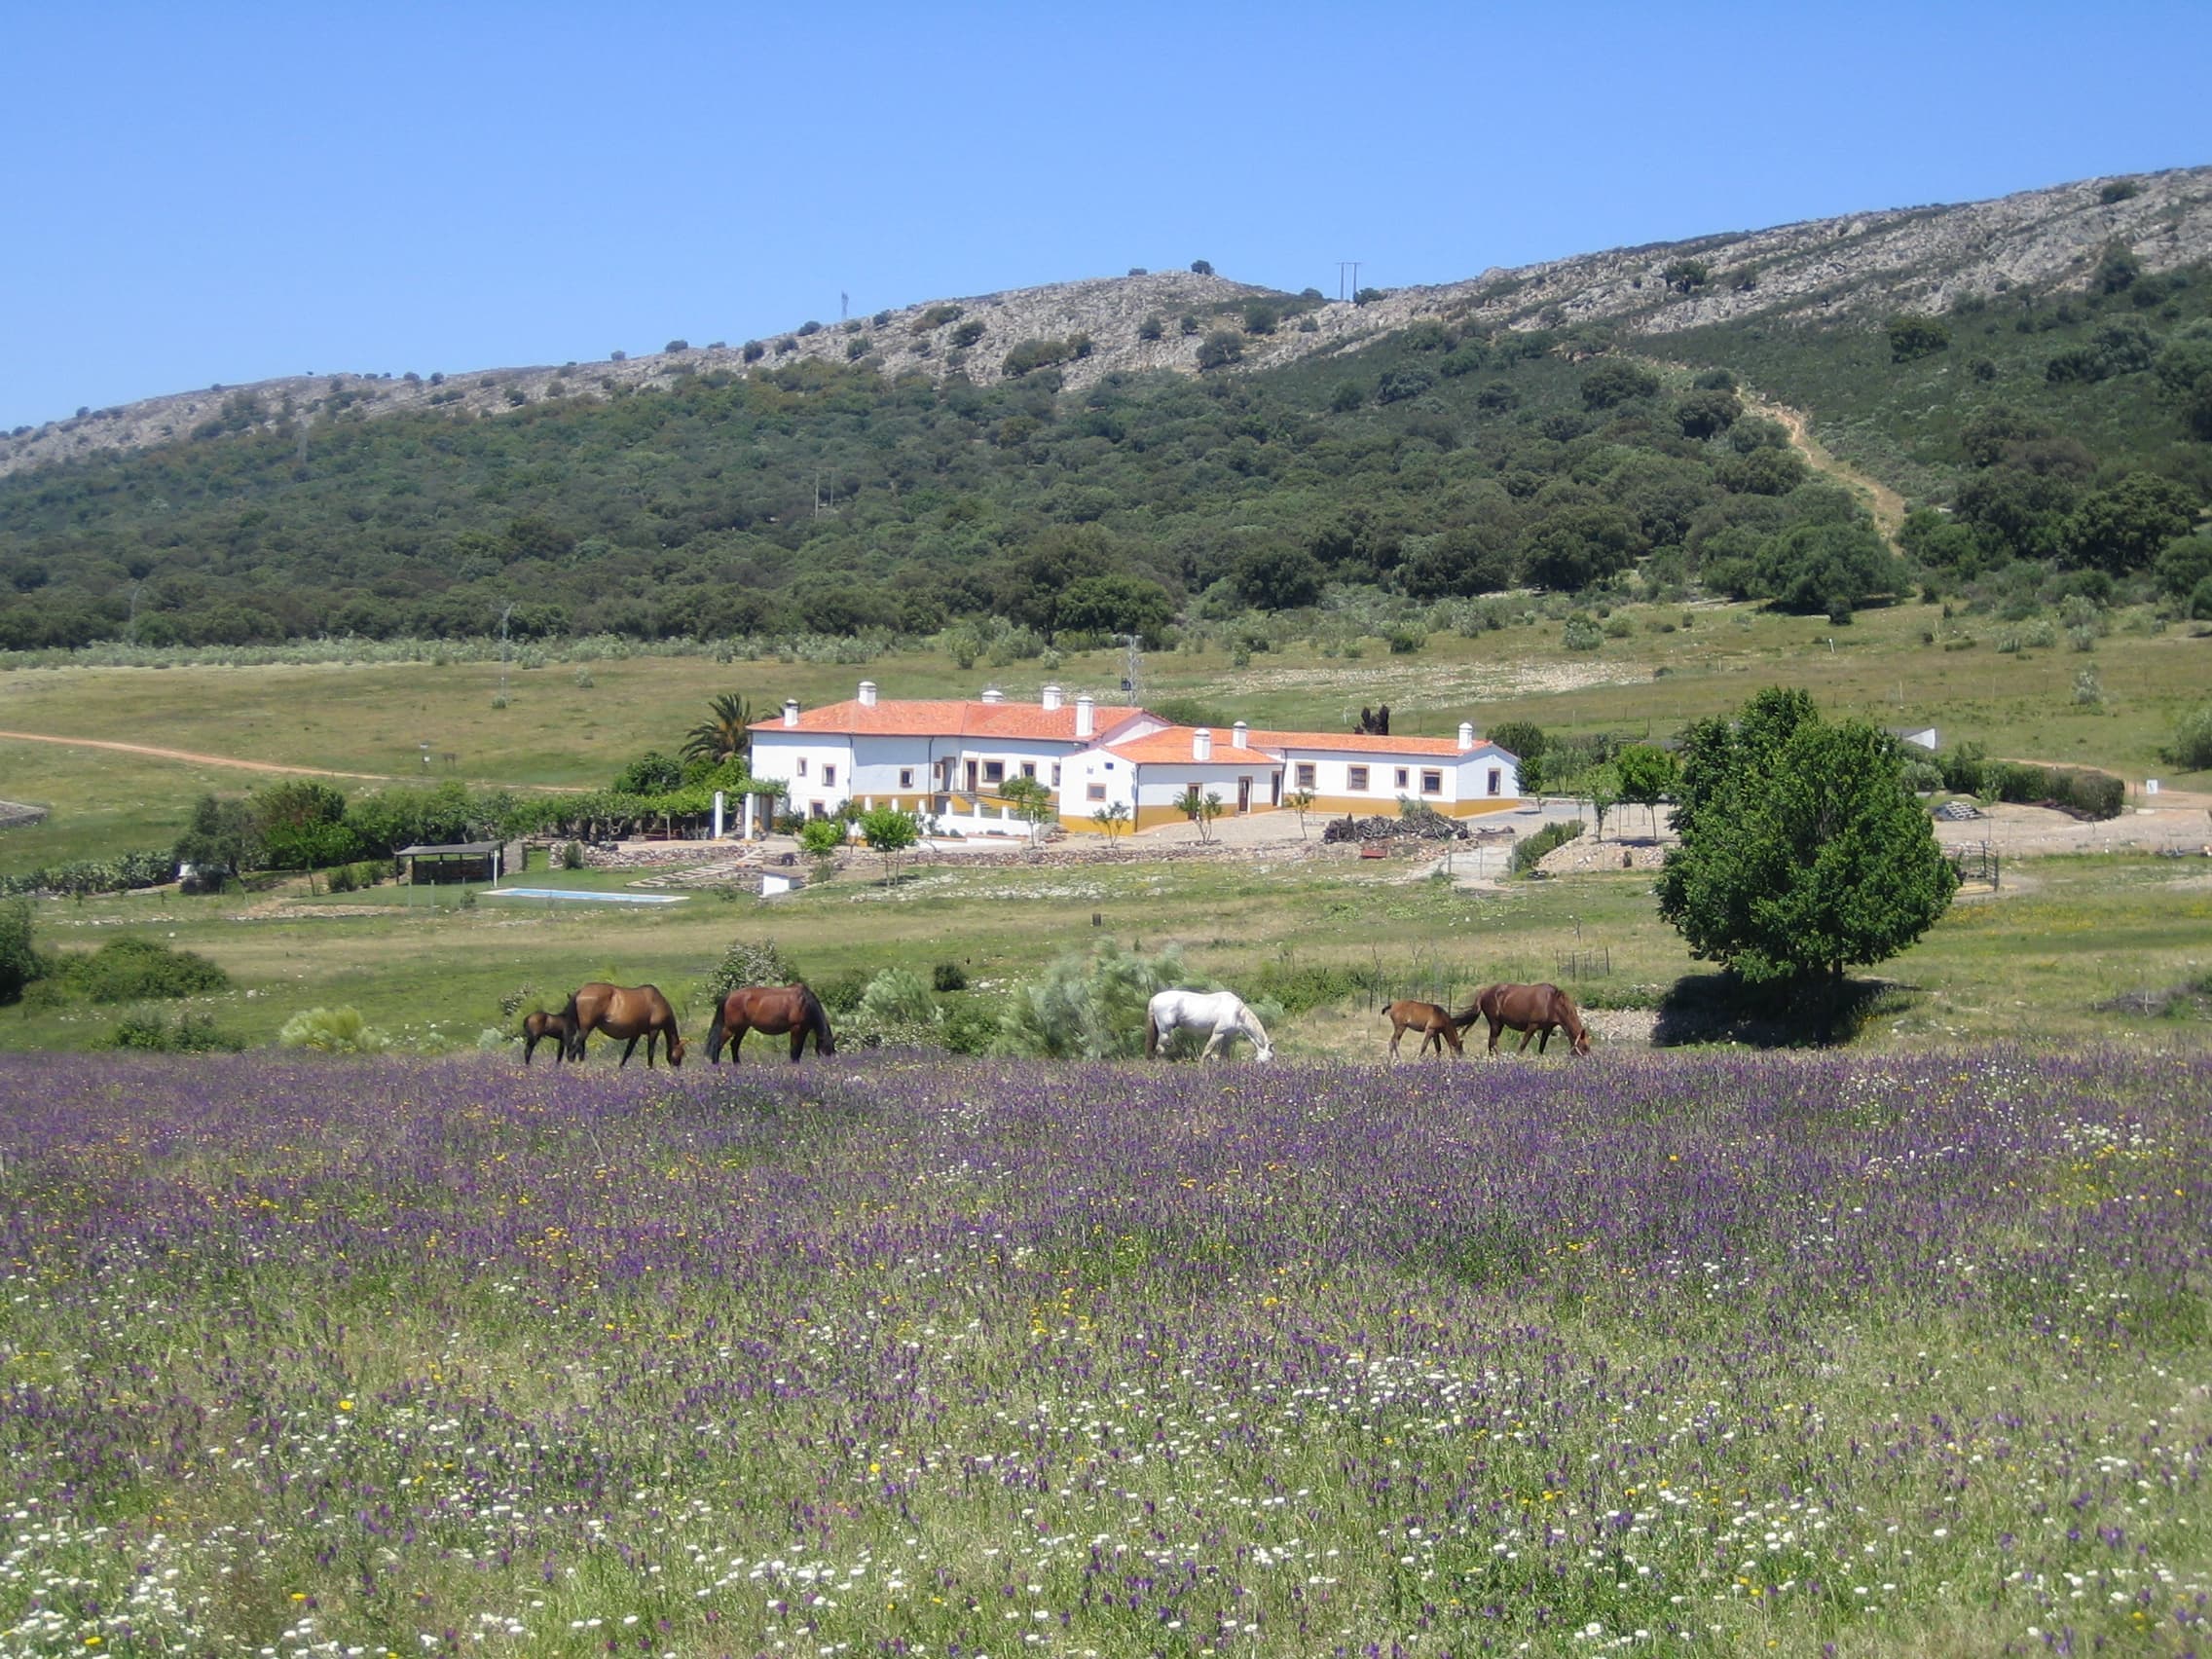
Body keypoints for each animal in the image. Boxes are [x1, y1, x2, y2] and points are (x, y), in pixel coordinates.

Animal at [708, 986, 835, 1066]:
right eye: (825, 1052)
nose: (828, 1066)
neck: (804, 1002)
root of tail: (730, 996)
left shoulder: (804, 1030)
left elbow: (798, 1051)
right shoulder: (796, 1029)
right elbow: (794, 1051)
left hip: (742, 1029)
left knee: (734, 1045)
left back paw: (738, 1065)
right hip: (731, 1028)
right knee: (717, 1045)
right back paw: (716, 1065)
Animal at [1141, 986, 1282, 1066]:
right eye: (1271, 1056)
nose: (1272, 1068)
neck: (1238, 1014)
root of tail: (1154, 998)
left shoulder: (1228, 1037)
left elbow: (1224, 1055)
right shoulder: (1218, 1033)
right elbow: (1207, 1051)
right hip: (1165, 1032)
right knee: (1160, 1049)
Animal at [1451, 981, 1592, 1057]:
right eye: (1584, 1047)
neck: (1552, 1002)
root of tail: (1484, 991)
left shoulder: (1546, 1029)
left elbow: (1541, 1048)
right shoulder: (1532, 1026)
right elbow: (1522, 1046)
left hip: (1499, 1024)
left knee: (1492, 1044)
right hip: (1495, 1023)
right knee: (1493, 1043)